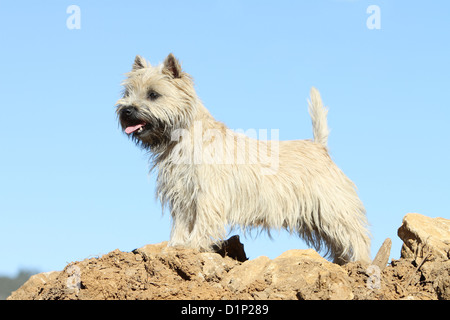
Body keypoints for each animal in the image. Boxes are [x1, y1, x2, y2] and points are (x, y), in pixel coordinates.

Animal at [115, 53, 370, 264]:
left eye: (153, 94)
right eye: (127, 93)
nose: (126, 110)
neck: (181, 139)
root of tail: (319, 146)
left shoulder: (208, 194)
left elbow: (202, 221)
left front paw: (192, 245)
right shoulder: (181, 194)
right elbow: (181, 223)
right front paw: (175, 246)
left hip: (332, 207)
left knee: (356, 235)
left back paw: (360, 264)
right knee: (338, 243)